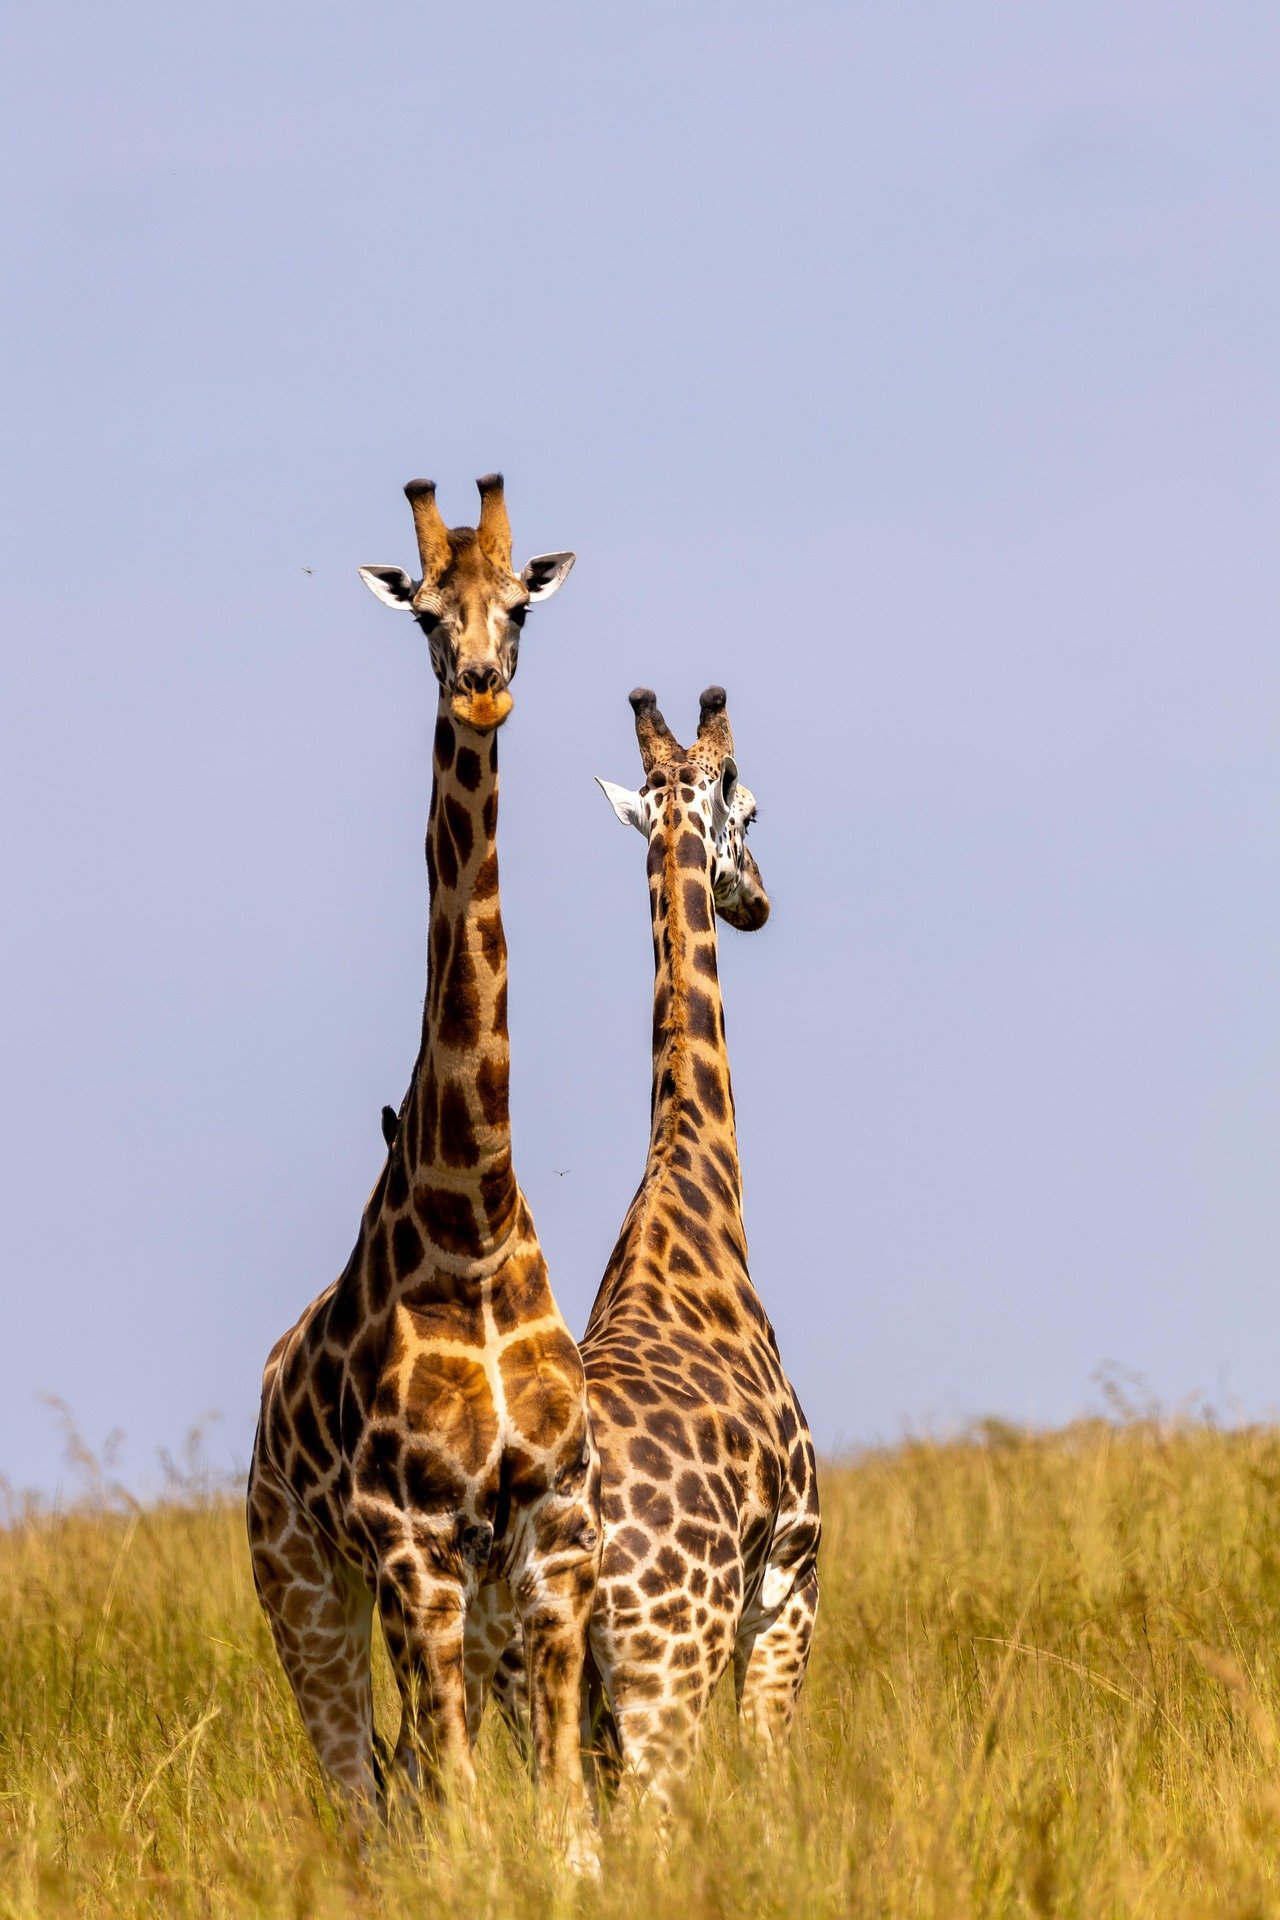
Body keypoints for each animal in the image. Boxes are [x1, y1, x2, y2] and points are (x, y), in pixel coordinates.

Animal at [246, 475, 601, 1857]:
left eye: (520, 606)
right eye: (424, 617)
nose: (482, 689)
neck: (473, 1221)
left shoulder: (548, 1539)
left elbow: (565, 1820)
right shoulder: (409, 1541)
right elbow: (457, 1809)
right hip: (305, 1588)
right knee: (360, 1786)